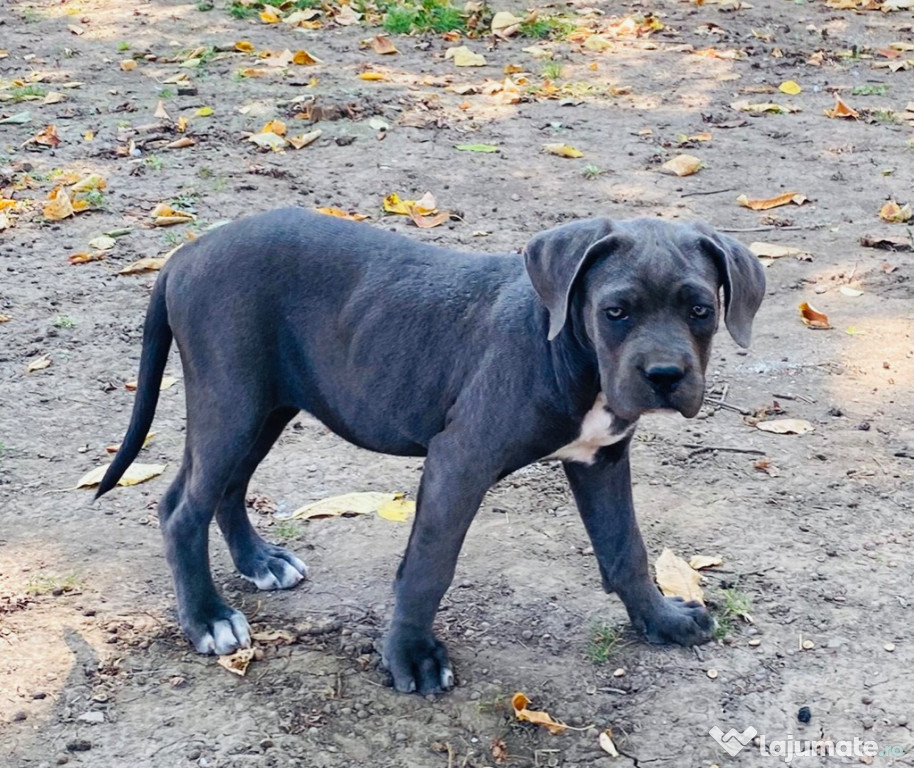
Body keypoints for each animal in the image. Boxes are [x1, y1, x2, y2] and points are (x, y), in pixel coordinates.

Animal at [94, 210, 764, 696]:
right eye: (615, 311)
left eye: (700, 310)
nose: (664, 375)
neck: (569, 351)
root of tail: (187, 253)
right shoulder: (459, 460)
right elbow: (427, 567)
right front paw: (410, 658)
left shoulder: (599, 459)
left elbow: (626, 549)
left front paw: (662, 620)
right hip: (232, 399)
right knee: (182, 508)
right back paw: (207, 619)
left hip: (268, 404)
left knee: (226, 488)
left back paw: (260, 562)